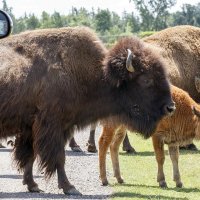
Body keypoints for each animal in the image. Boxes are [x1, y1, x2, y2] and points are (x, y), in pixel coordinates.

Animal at [0, 26, 173, 195]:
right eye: (146, 79)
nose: (170, 107)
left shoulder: (34, 128)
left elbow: (30, 155)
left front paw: (33, 185)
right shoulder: (53, 127)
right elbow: (58, 157)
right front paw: (70, 187)